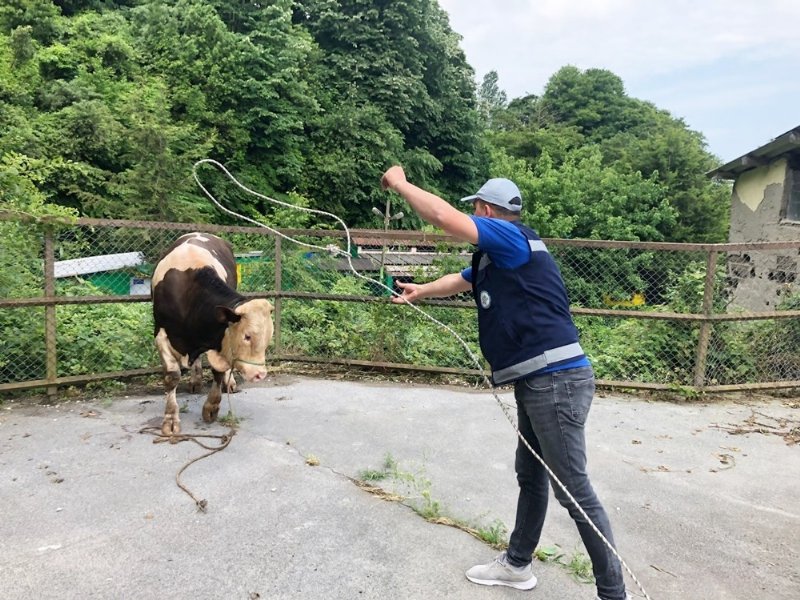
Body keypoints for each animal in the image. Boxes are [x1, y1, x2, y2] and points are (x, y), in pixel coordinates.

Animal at [152, 232, 274, 434]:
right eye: (247, 336)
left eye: (267, 339)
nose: (260, 375)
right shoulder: (161, 334)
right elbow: (172, 376)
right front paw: (170, 419)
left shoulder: (216, 339)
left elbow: (218, 371)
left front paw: (212, 407)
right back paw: (196, 380)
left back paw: (228, 383)